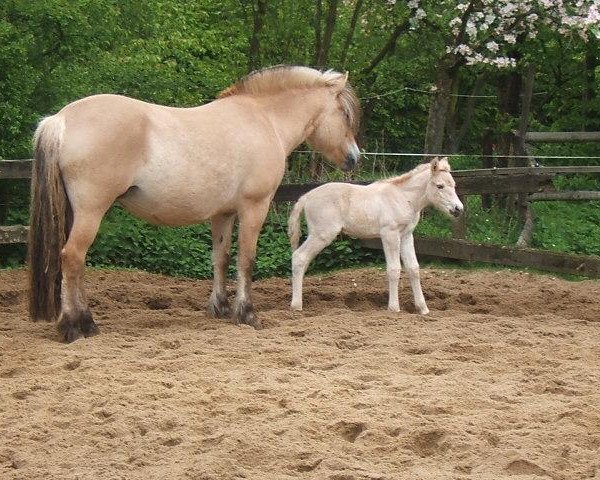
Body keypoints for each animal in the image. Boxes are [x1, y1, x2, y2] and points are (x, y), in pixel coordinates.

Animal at [29, 65, 360, 342]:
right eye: (345, 114)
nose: (355, 158)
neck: (264, 119)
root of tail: (61, 119)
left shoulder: (223, 214)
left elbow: (221, 258)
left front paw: (220, 308)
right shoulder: (254, 207)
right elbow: (247, 259)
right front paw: (247, 313)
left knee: (76, 262)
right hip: (91, 212)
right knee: (72, 257)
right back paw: (76, 326)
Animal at [288, 158, 464, 316]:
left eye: (454, 185)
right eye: (440, 186)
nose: (458, 209)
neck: (403, 198)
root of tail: (307, 196)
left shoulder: (406, 235)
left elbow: (413, 268)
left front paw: (423, 309)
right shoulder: (390, 234)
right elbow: (394, 269)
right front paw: (394, 308)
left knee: (303, 261)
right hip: (322, 235)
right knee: (299, 257)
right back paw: (296, 305)